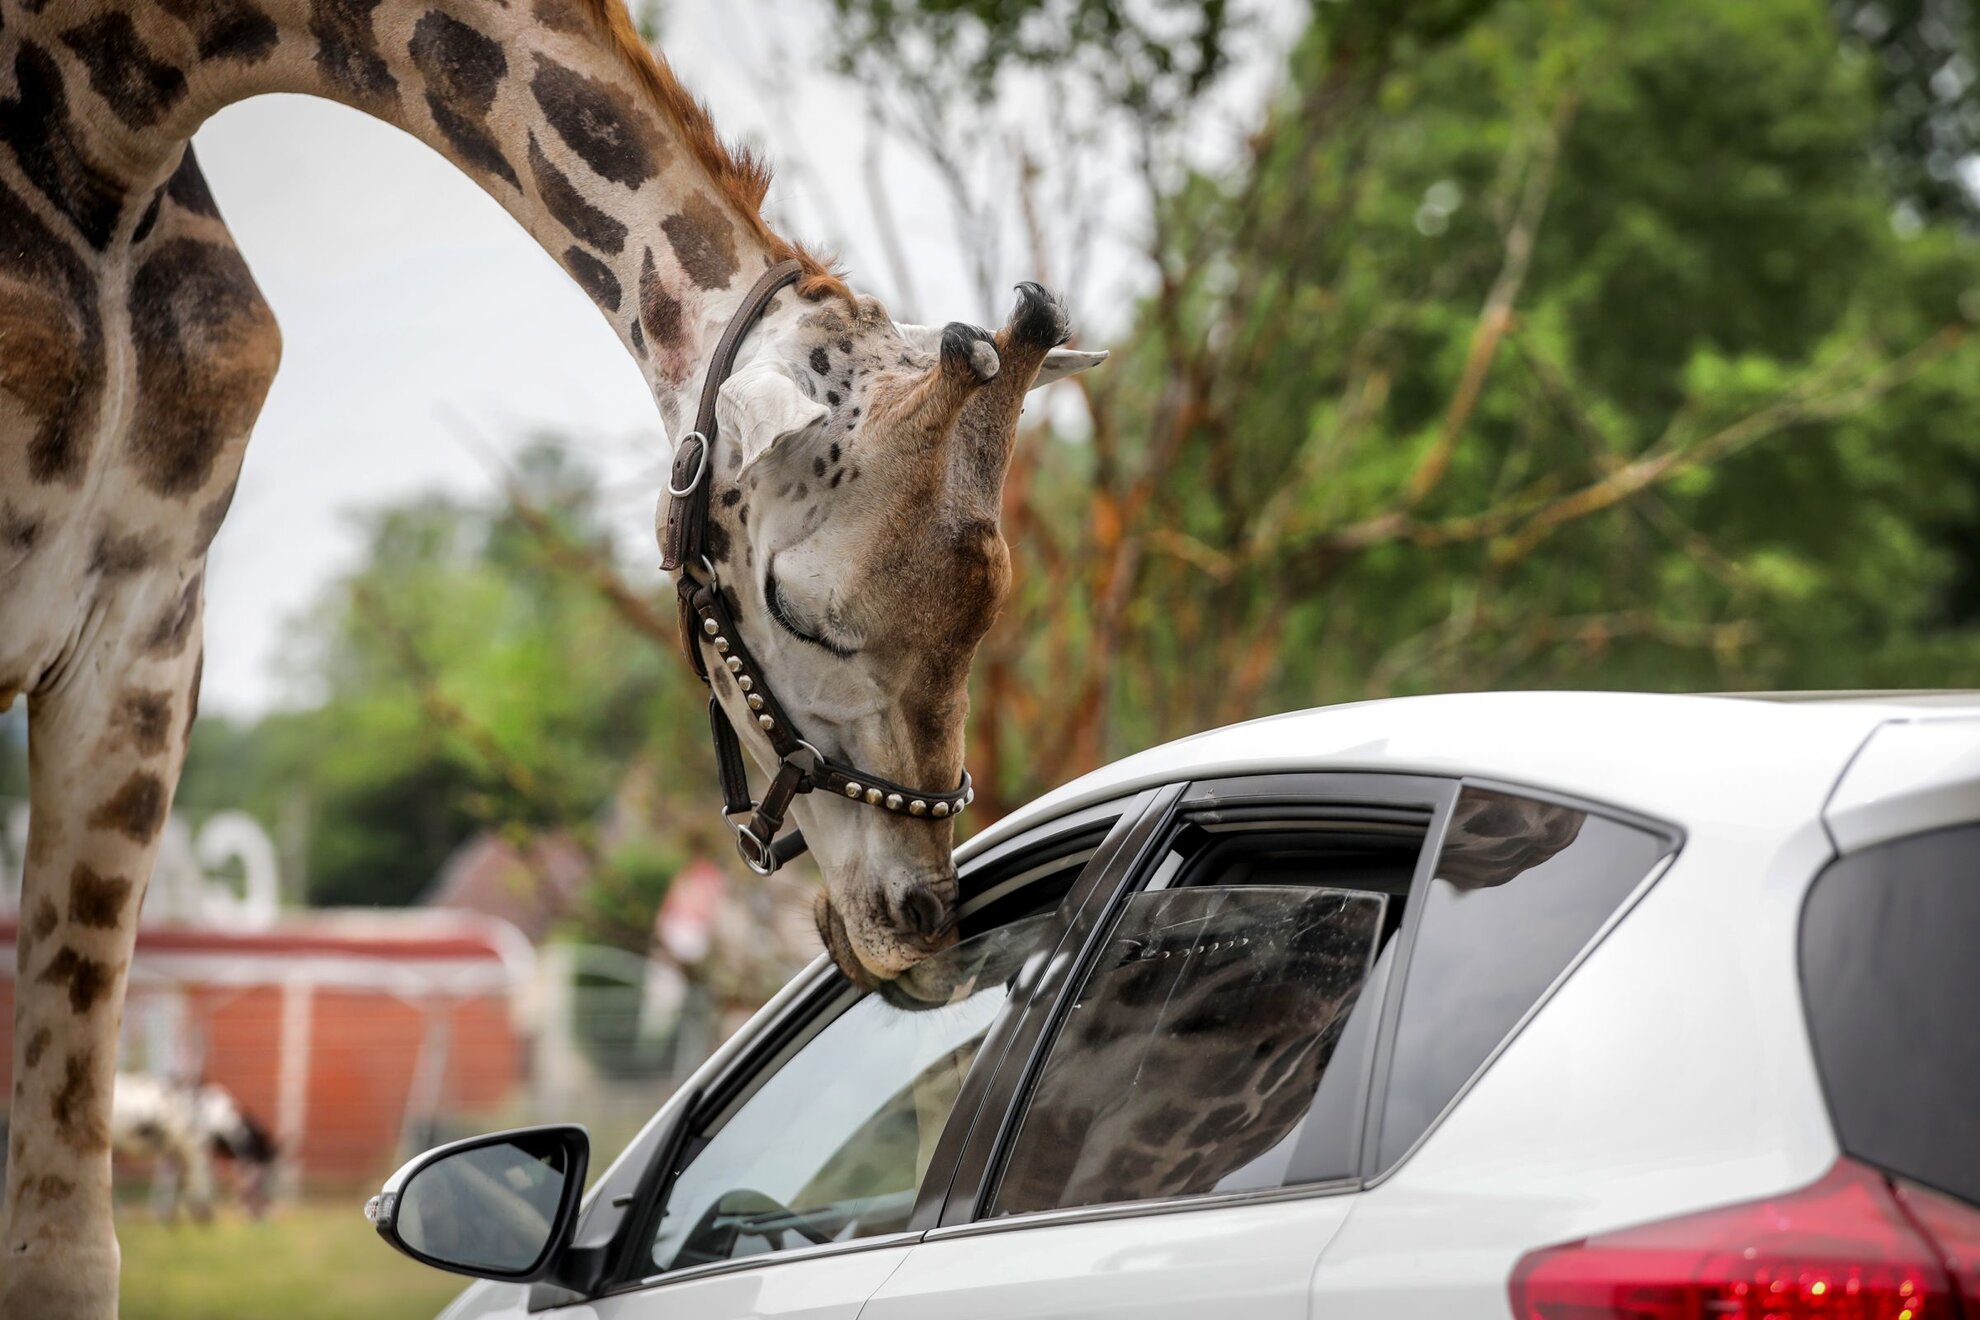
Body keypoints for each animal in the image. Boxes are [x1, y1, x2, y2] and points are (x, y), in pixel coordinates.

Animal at [0, 0, 1108, 1306]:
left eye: (986, 611)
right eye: (799, 606)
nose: (922, 924)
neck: (131, 109)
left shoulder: (144, 613)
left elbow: (65, 1246)